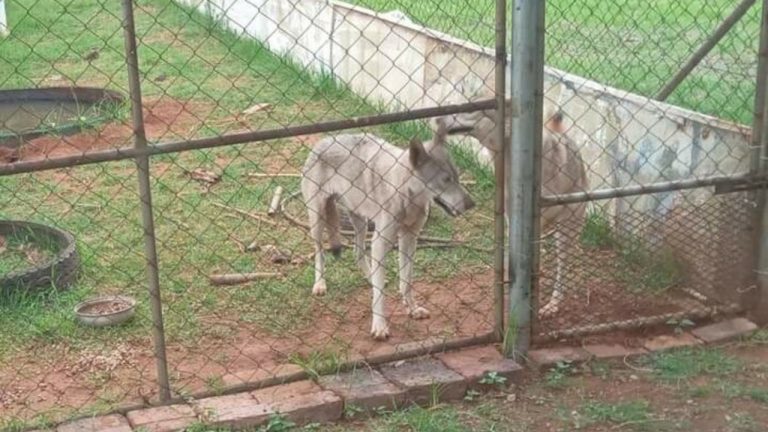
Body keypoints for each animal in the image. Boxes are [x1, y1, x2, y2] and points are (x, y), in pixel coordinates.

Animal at [300, 120, 474, 340]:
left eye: (457, 178)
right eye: (445, 180)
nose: (471, 204)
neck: (405, 192)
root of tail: (322, 141)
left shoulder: (409, 238)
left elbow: (406, 281)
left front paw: (412, 309)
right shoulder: (381, 241)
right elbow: (381, 294)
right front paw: (379, 326)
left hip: (360, 221)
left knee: (358, 253)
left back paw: (370, 277)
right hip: (318, 219)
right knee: (320, 251)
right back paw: (320, 284)